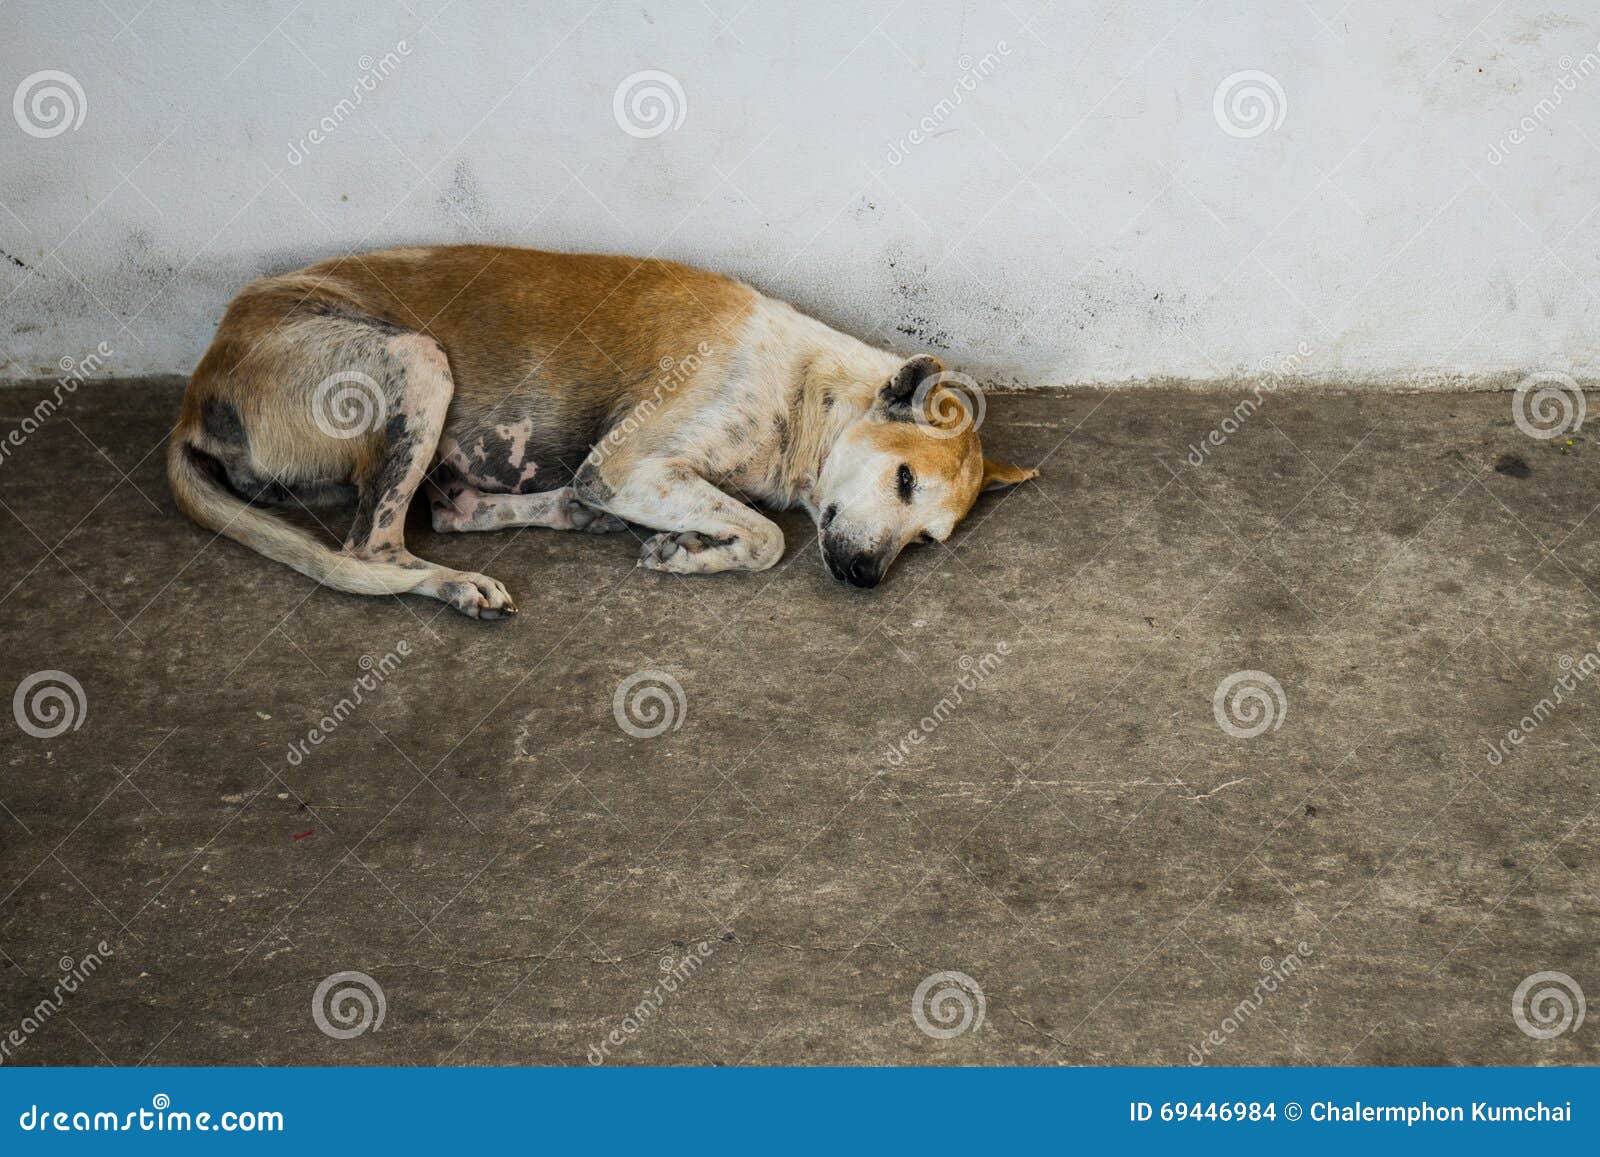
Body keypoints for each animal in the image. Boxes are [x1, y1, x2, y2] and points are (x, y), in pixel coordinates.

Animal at [165, 248, 1036, 620]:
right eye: (902, 478)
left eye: (928, 539)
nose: (865, 578)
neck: (806, 388)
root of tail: (199, 390)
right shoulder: (627, 464)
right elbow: (767, 538)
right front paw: (694, 555)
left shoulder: (631, 474)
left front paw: (685, 546)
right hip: (416, 361)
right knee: (371, 550)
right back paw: (458, 584)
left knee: (452, 511)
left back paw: (552, 513)